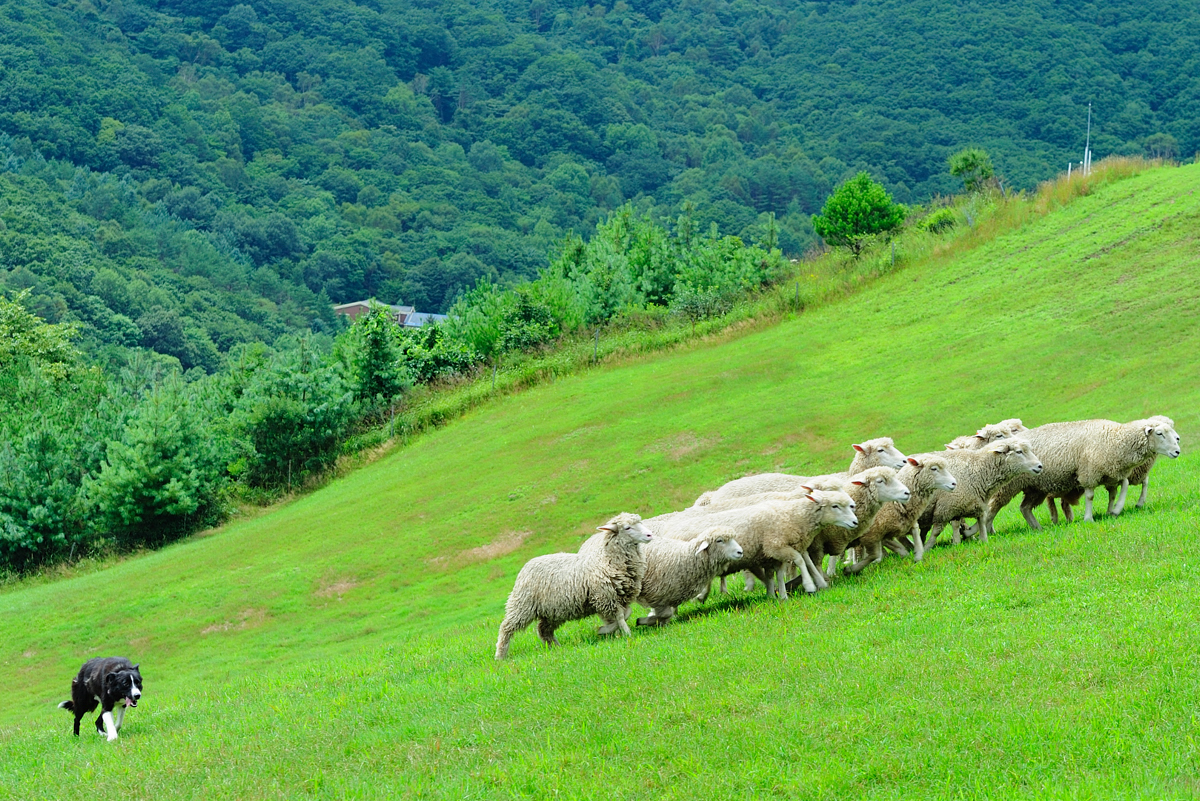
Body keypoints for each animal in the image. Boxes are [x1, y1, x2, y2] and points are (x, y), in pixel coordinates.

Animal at [494, 513, 652, 659]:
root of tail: (527, 565)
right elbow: (620, 617)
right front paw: (623, 633)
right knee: (506, 628)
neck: (607, 560)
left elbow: (627, 614)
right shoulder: (606, 597)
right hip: (522, 605)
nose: (649, 535)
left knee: (543, 630)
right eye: (627, 527)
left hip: (554, 611)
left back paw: (555, 648)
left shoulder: (617, 598)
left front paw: (610, 630)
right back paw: (500, 655)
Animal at [656, 490, 859, 599]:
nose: (855, 522)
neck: (792, 515)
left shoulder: (793, 544)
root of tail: (670, 528)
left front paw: (820, 582)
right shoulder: (776, 546)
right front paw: (810, 586)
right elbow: (800, 561)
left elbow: (806, 562)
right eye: (835, 506)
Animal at [985, 418, 1181, 531]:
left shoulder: (1113, 472)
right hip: (1008, 486)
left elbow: (1122, 487)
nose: (1177, 451)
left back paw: (1038, 528)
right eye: (1160, 433)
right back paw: (989, 531)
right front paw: (1089, 519)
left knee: (1024, 508)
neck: (1115, 439)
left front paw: (1115, 510)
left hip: (1035, 486)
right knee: (992, 508)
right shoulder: (1089, 472)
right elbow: (1090, 496)